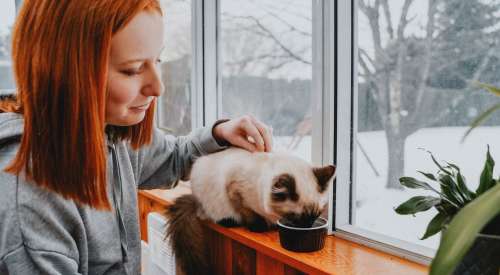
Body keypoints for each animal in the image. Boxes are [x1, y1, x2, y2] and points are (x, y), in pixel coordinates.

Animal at [164, 149, 336, 275]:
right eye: (297, 219)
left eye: (315, 216)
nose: (307, 226)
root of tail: (194, 198)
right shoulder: (235, 190)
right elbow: (249, 213)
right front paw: (258, 227)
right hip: (208, 196)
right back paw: (227, 221)